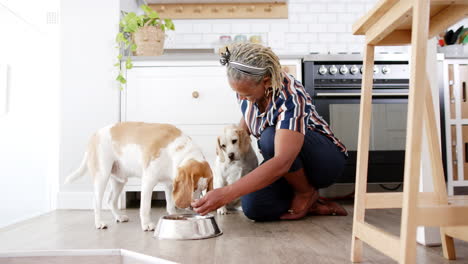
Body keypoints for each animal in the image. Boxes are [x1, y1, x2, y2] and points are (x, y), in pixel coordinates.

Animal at [64, 121, 214, 231]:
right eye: (193, 188)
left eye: (202, 189)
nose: (193, 206)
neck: (176, 150)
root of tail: (95, 135)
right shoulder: (148, 181)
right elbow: (145, 207)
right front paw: (147, 224)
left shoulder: (169, 184)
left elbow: (170, 204)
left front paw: (173, 215)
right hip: (102, 175)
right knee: (96, 202)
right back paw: (99, 222)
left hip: (119, 181)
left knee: (111, 201)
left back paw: (119, 216)